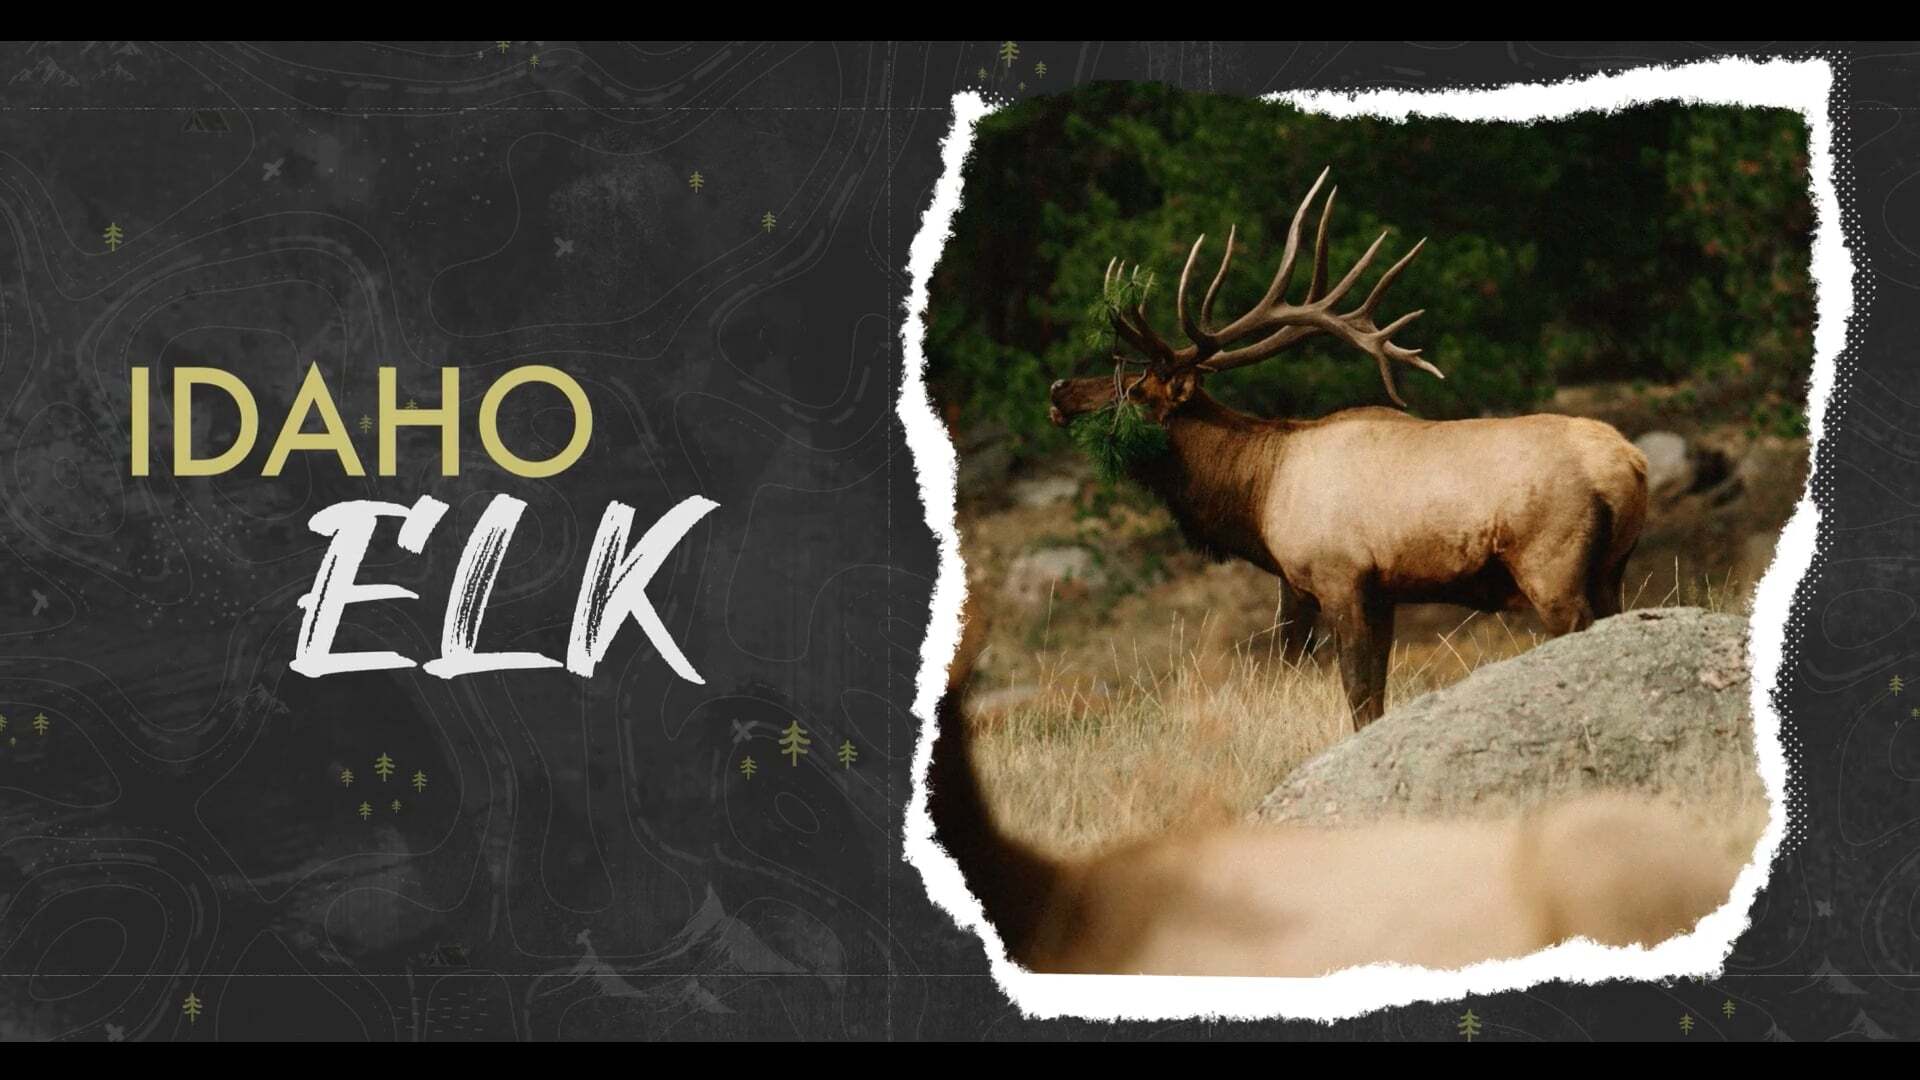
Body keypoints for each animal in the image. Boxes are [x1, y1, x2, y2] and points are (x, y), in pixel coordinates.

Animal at [1047, 167, 1648, 727]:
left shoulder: (1339, 576)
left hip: (1552, 564)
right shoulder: (1381, 592)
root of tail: (1631, 464)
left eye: (1137, 389)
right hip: (1611, 571)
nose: (1059, 390)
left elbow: (1359, 696)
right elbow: (1375, 696)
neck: (1258, 494)